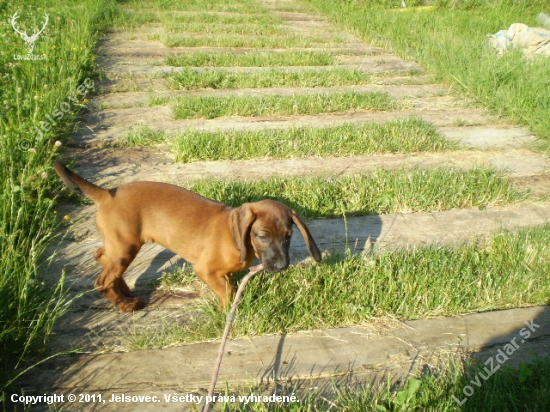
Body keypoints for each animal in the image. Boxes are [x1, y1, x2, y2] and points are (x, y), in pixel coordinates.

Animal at [54, 162, 322, 312]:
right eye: (262, 235)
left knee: (102, 257)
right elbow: (227, 291)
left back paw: (125, 291)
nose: (282, 266)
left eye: (288, 236)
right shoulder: (205, 270)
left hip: (120, 244)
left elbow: (228, 285)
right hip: (125, 246)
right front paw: (226, 313)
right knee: (102, 279)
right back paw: (125, 305)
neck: (237, 240)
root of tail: (107, 193)